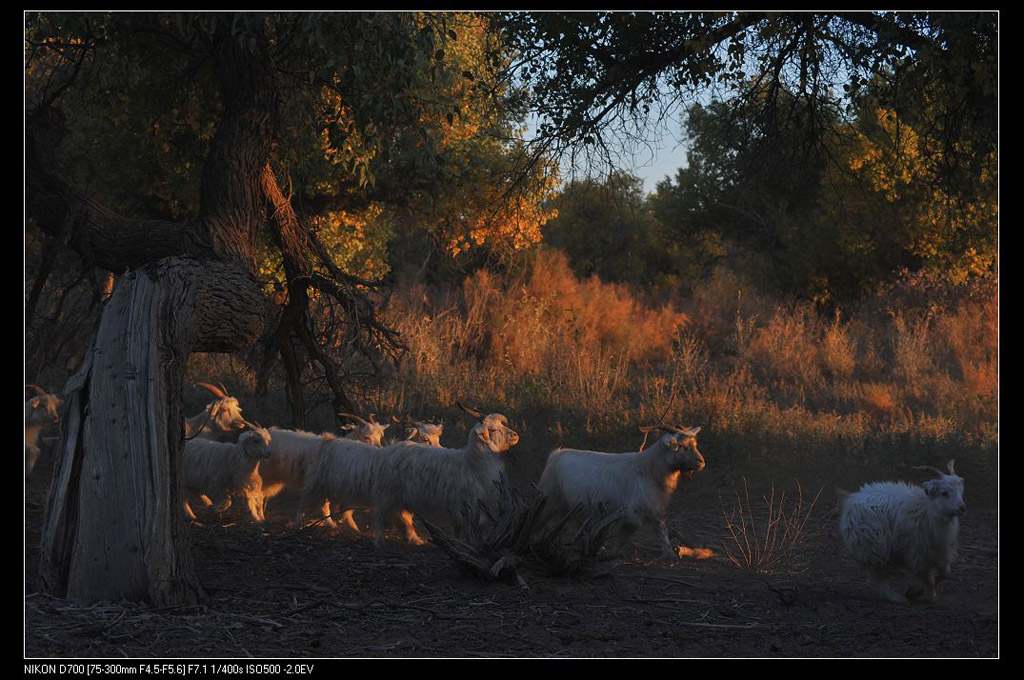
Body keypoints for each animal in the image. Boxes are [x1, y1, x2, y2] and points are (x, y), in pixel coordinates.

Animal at [372, 403, 520, 548]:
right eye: (493, 429)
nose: (515, 435)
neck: (471, 464)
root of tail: (391, 448)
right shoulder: (465, 506)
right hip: (388, 494)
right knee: (380, 515)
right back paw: (379, 541)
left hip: (402, 495)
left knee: (404, 515)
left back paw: (414, 539)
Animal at [536, 421, 704, 561]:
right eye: (680, 446)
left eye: (694, 444)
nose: (701, 462)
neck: (647, 469)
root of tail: (556, 454)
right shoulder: (632, 512)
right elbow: (625, 534)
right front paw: (615, 554)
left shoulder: (653, 506)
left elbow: (662, 529)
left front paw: (670, 555)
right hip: (550, 499)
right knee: (541, 518)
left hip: (576, 506)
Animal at [835, 458, 962, 602]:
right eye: (944, 493)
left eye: (961, 491)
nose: (962, 508)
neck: (927, 509)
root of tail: (851, 502)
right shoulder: (917, 554)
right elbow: (928, 579)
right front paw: (924, 594)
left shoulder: (941, 553)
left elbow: (944, 574)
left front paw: (916, 591)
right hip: (875, 547)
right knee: (876, 580)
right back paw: (897, 598)